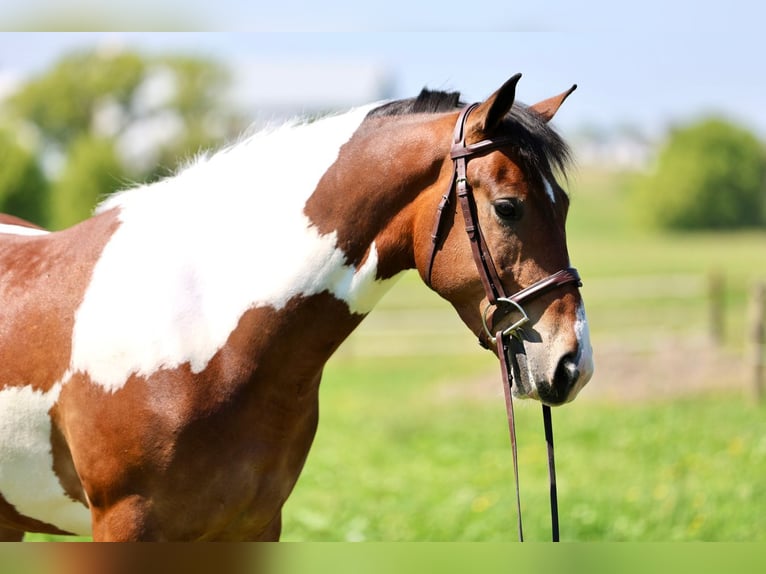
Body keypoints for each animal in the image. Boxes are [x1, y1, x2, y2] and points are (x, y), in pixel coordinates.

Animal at [0, 74, 593, 541]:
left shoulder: (254, 524)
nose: (573, 364)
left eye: (565, 206)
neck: (203, 334)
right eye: (508, 207)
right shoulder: (126, 525)